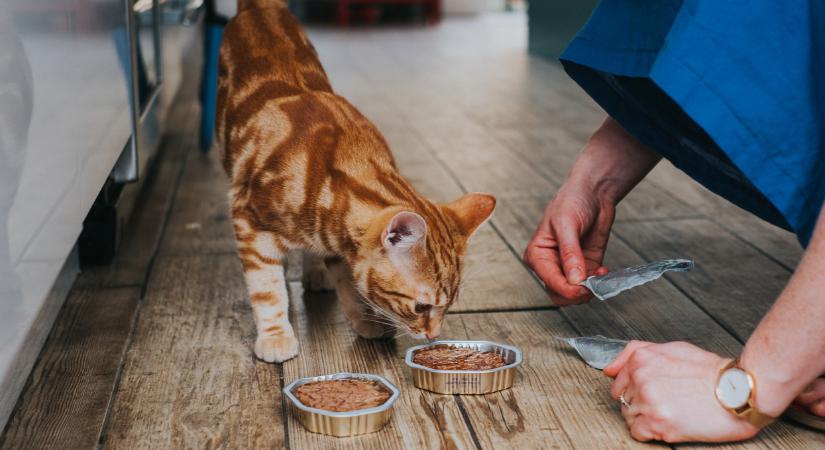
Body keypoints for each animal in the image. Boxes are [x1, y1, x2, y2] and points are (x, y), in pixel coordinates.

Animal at [216, 0, 492, 362]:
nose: (433, 336)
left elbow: (350, 284)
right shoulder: (248, 220)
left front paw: (364, 319)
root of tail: (261, 7)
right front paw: (276, 335)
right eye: (421, 307)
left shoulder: (339, 242)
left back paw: (315, 271)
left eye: (449, 305)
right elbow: (267, 289)